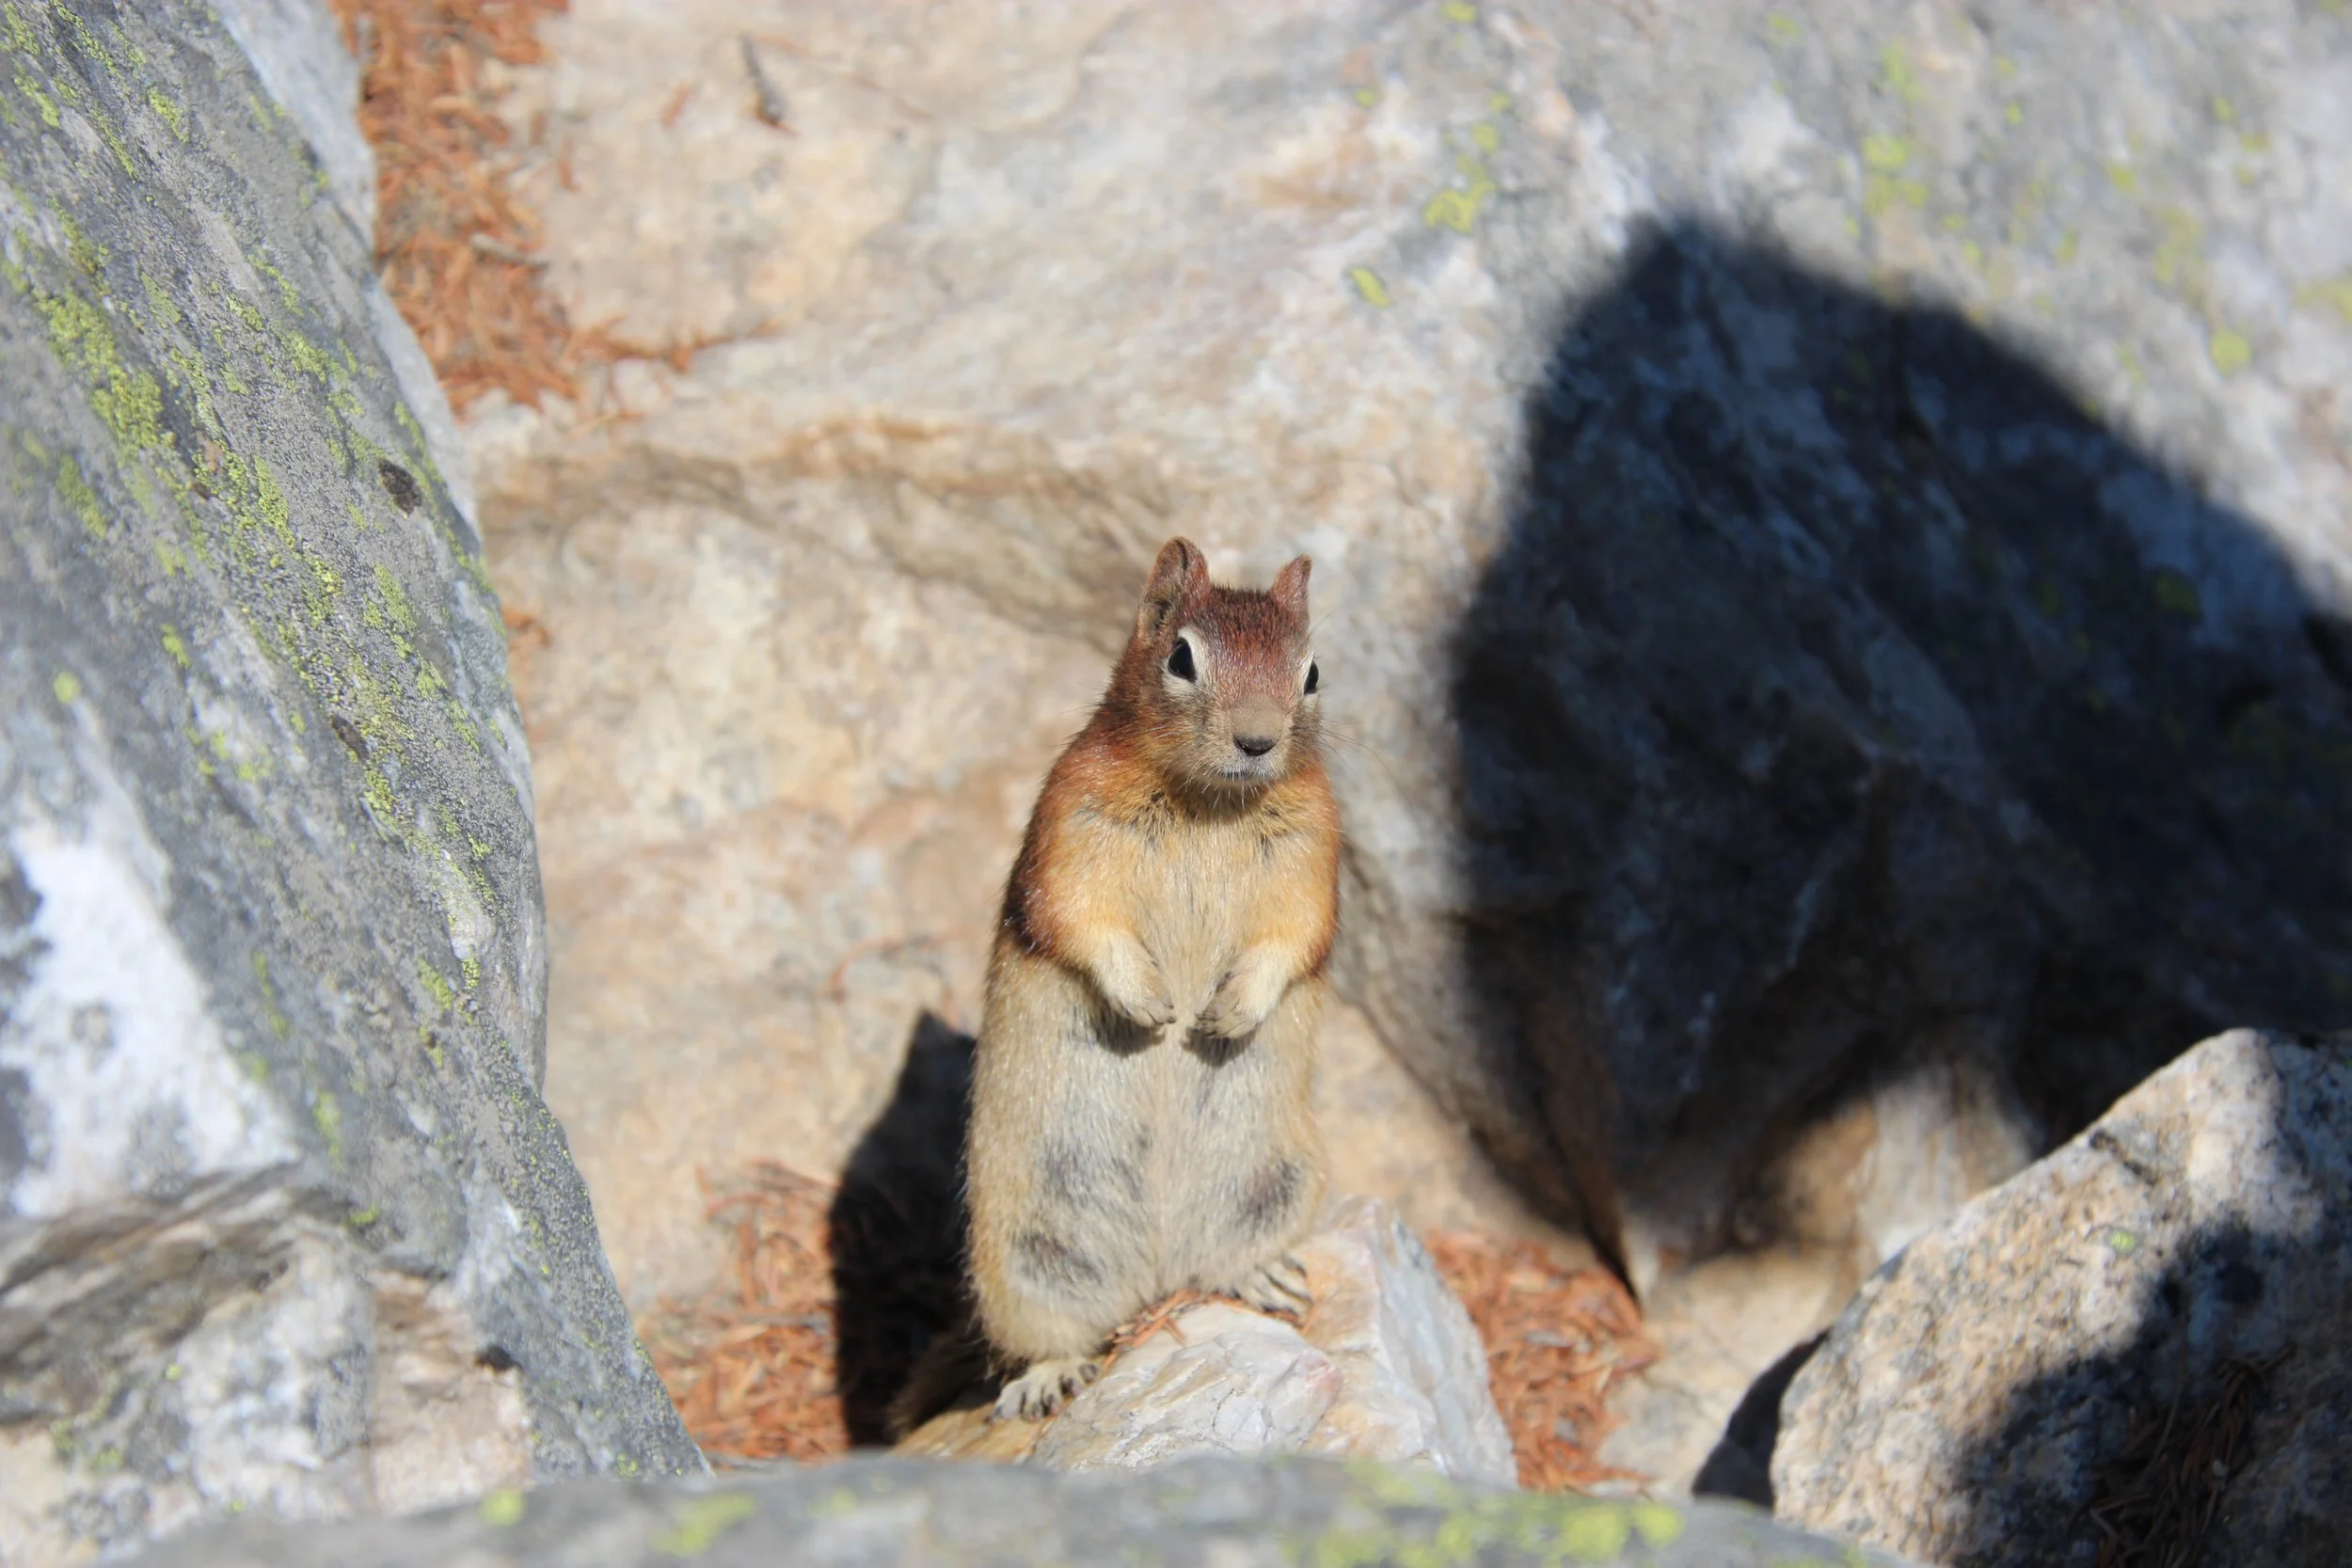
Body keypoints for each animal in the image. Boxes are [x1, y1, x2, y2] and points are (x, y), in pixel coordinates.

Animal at [940, 536, 1341, 1424]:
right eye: (1181, 658)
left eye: (1312, 671)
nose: (1258, 740)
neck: (1212, 804)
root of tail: (1157, 1275)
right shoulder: (1070, 821)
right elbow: (1080, 918)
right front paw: (1150, 1003)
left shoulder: (1315, 851)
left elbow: (1294, 936)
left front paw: (1227, 1013)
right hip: (1021, 1253)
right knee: (1054, 1329)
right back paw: (1046, 1378)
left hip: (1278, 1182)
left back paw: (1263, 1275)